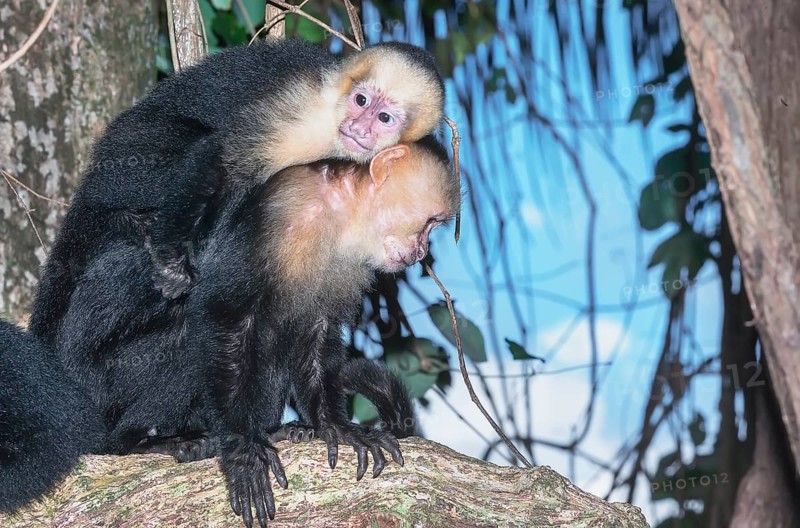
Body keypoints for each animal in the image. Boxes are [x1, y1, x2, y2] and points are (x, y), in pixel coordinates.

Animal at [29, 38, 445, 352]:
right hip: (127, 158)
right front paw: (173, 263)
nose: (358, 127)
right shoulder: (308, 119)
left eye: (384, 118)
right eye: (361, 101)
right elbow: (223, 160)